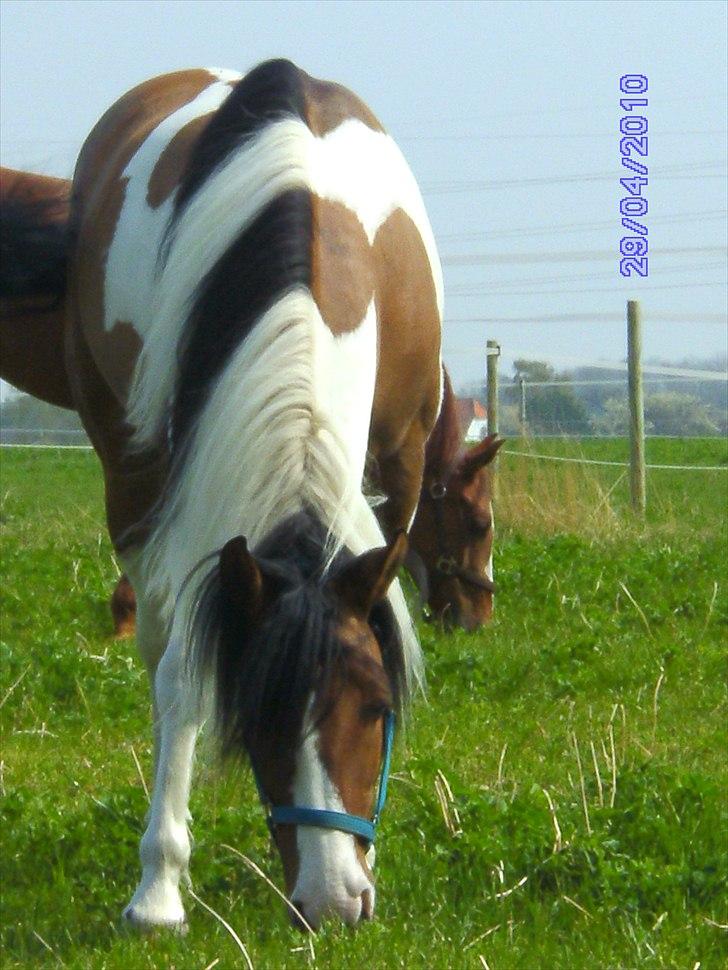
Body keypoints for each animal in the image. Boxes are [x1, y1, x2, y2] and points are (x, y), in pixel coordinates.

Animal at [2, 62, 440, 932]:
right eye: (258, 715)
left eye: (377, 708)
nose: (333, 902)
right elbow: (184, 670)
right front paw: (159, 887)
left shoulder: (403, 463)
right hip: (131, 472)